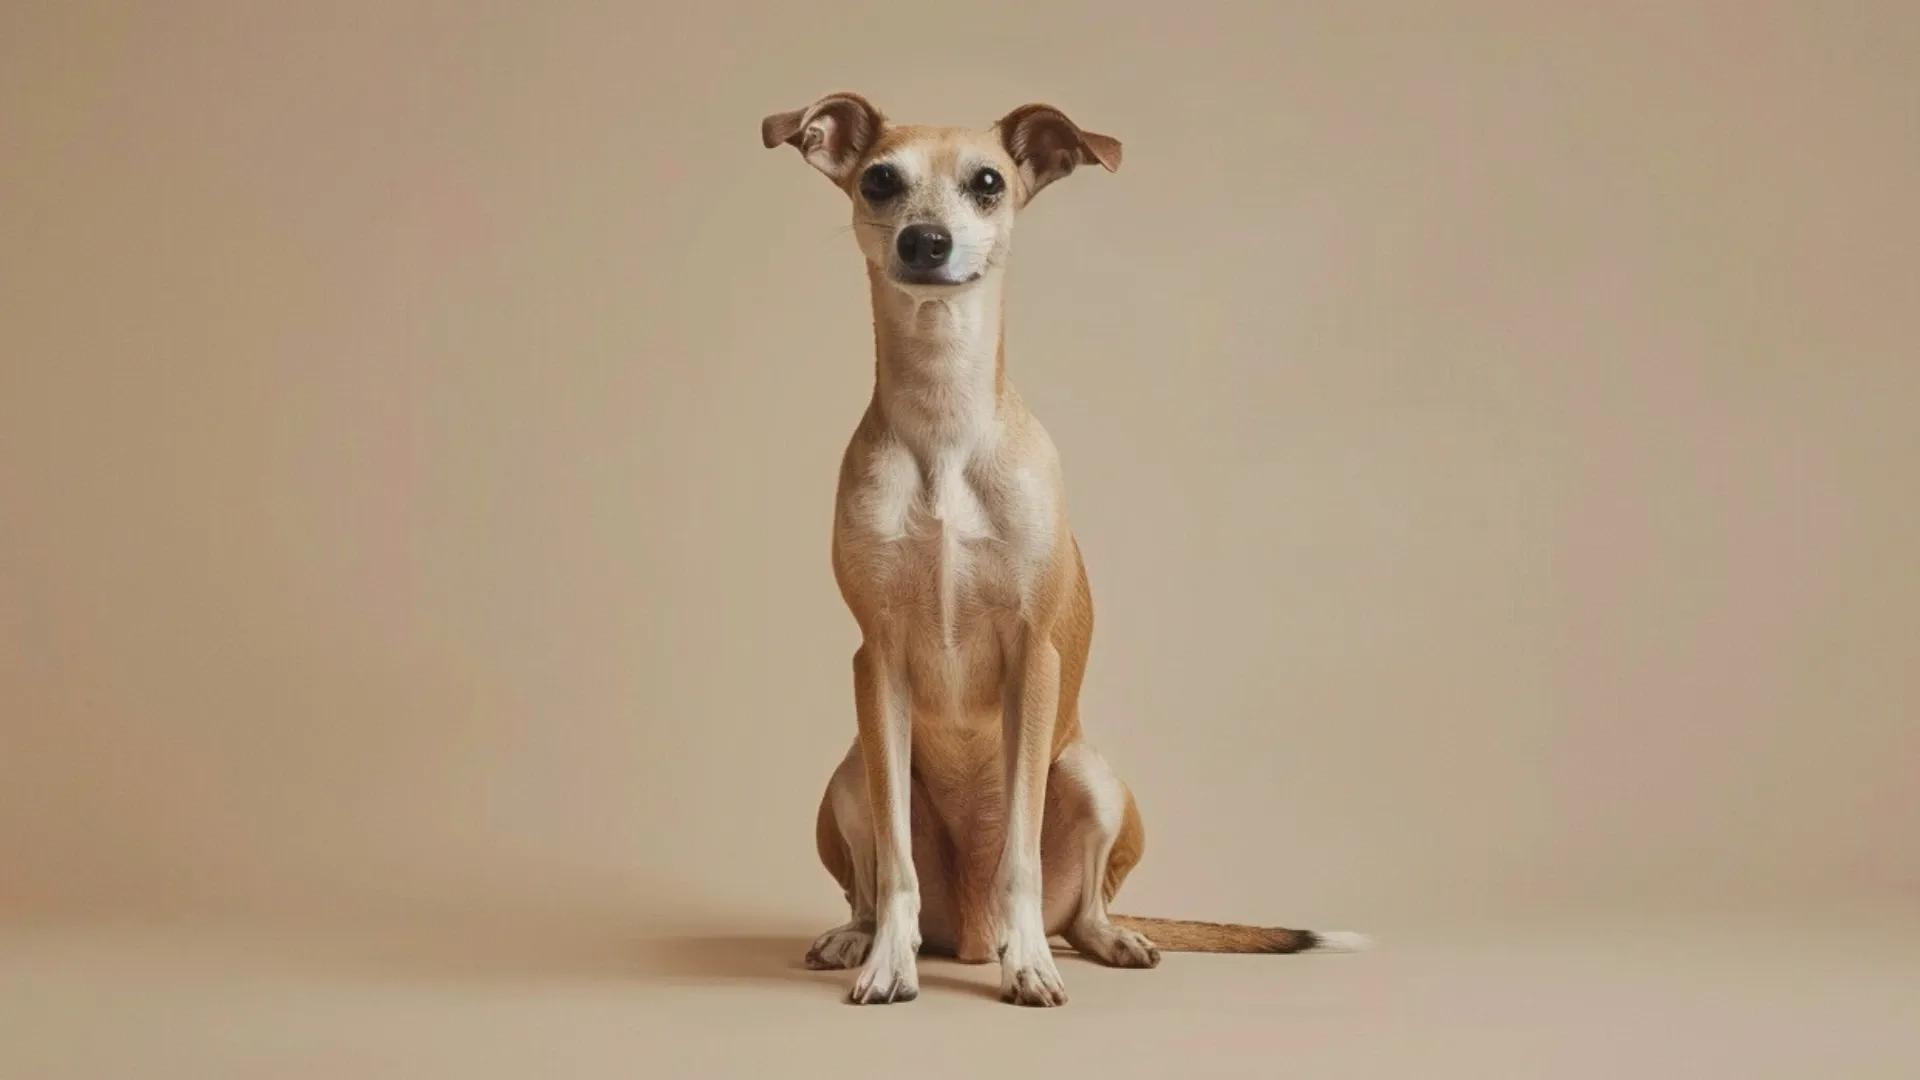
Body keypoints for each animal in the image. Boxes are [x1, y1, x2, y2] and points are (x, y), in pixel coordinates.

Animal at [764, 90, 1367, 999]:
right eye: (879, 181)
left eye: (988, 182)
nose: (925, 242)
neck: (944, 425)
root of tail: (967, 934)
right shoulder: (879, 661)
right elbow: (896, 866)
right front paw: (888, 963)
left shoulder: (1033, 656)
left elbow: (1020, 851)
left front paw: (1032, 969)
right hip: (849, 780)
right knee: (872, 880)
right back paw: (861, 938)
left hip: (1090, 776)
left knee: (1080, 906)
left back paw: (1090, 940)